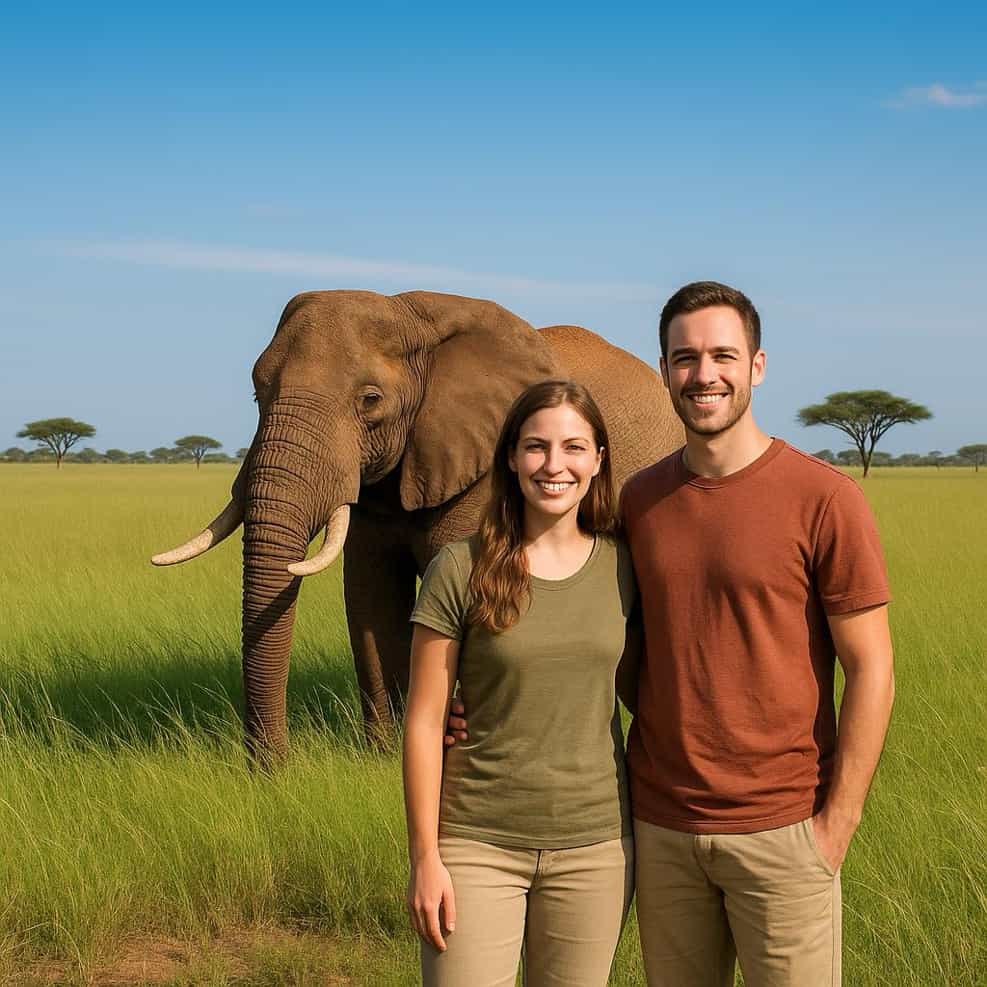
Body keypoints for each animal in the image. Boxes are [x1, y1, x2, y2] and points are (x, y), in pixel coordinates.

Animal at [152, 290, 683, 764]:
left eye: (370, 400)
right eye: (257, 394)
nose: (271, 772)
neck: (407, 314)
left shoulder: (482, 470)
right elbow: (369, 597)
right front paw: (386, 757)